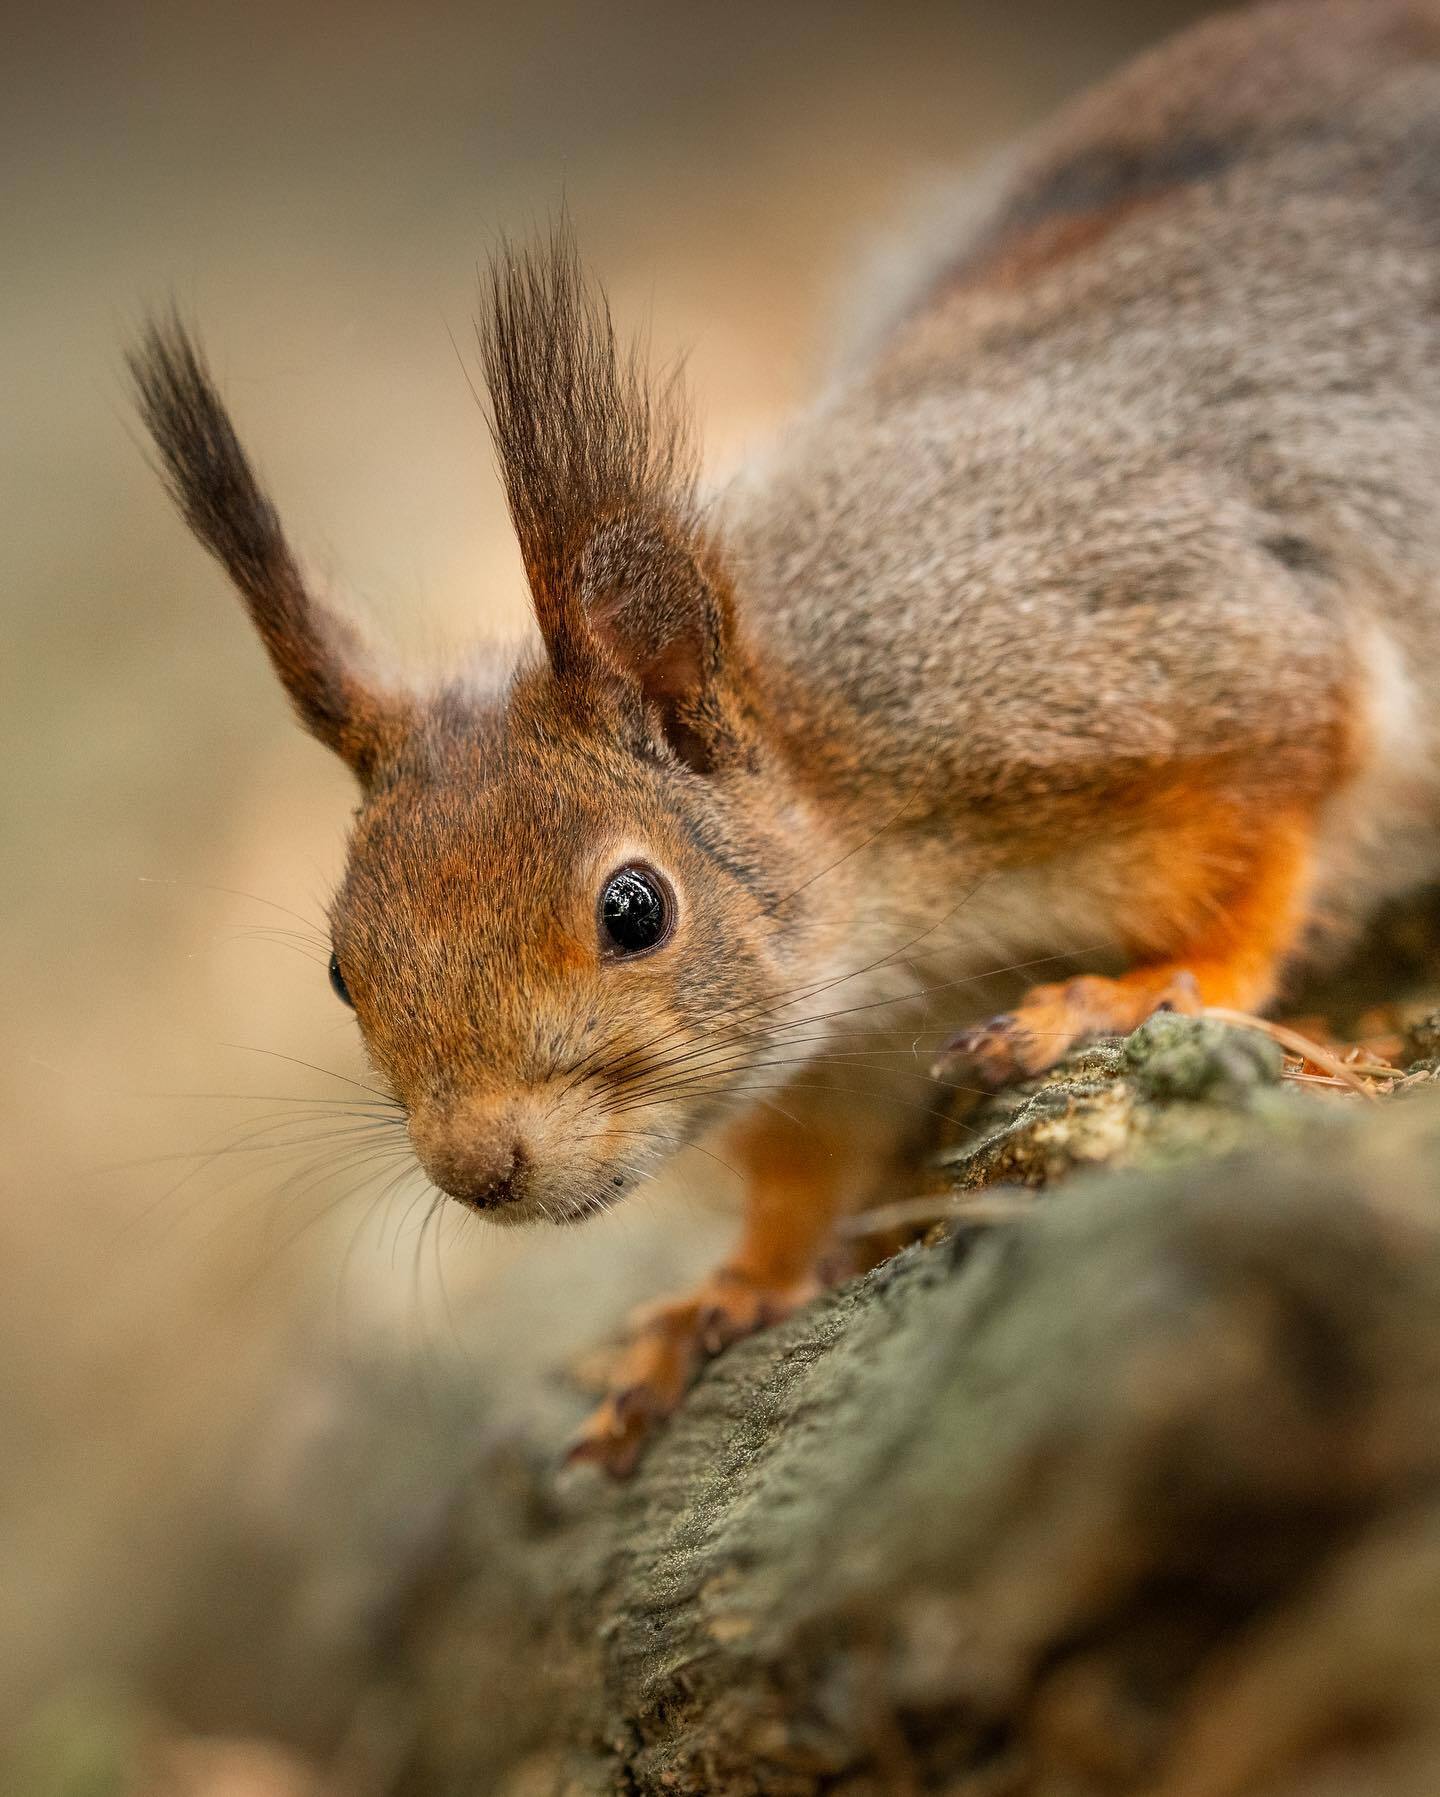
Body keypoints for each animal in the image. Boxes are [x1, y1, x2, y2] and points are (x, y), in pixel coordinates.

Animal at [129, 0, 1438, 1473]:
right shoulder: (839, 1042)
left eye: (635, 907)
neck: (849, 810)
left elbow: (1272, 840)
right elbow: (806, 1167)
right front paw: (730, 1289)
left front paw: (1153, 984)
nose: (479, 1170)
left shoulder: (1171, 669)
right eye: (343, 970)